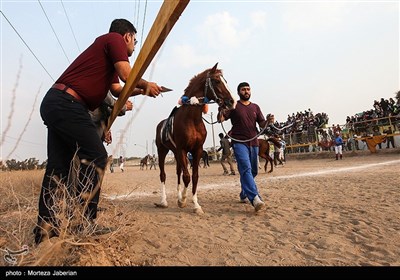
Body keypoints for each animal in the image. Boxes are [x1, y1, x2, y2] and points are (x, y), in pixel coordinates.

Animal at [153, 62, 234, 213]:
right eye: (217, 81)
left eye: (225, 80)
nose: (232, 101)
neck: (191, 119)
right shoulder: (182, 149)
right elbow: (187, 176)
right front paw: (183, 200)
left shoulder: (197, 150)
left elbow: (194, 176)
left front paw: (195, 204)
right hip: (162, 151)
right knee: (163, 175)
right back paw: (163, 201)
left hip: (175, 153)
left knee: (178, 172)